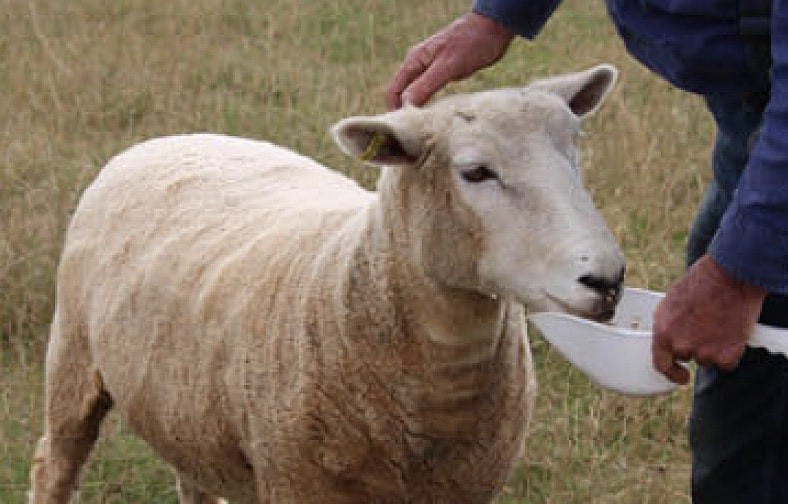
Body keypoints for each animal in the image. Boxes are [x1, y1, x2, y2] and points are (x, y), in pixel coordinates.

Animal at [27, 65, 624, 502]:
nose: (608, 279)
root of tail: (171, 138)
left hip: (187, 411)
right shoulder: (296, 482)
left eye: (575, 149)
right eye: (475, 172)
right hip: (72, 358)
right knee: (53, 465)